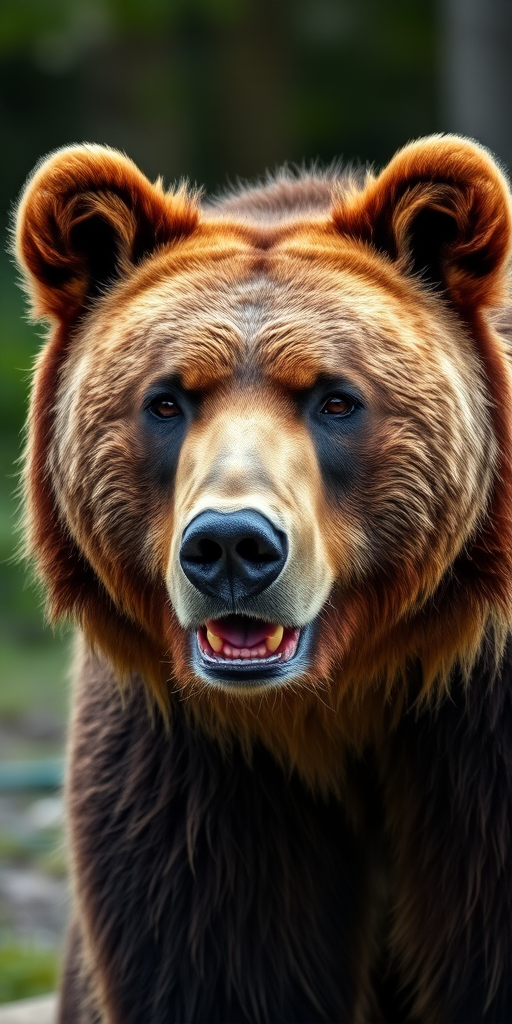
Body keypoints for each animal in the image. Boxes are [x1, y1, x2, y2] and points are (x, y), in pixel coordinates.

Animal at [14, 135, 512, 1024]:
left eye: (337, 400)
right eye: (166, 401)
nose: (232, 546)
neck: (336, 699)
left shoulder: (475, 733)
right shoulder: (196, 760)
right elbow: (220, 958)